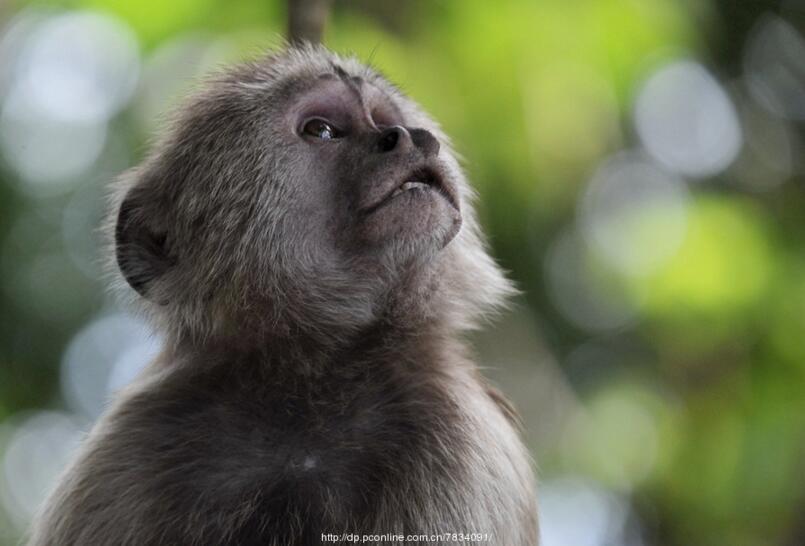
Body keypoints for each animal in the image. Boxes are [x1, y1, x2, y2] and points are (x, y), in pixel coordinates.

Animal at [28, 44, 536, 540]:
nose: (409, 136)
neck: (308, 375)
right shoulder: (131, 444)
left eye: (382, 118)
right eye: (322, 130)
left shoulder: (453, 434)